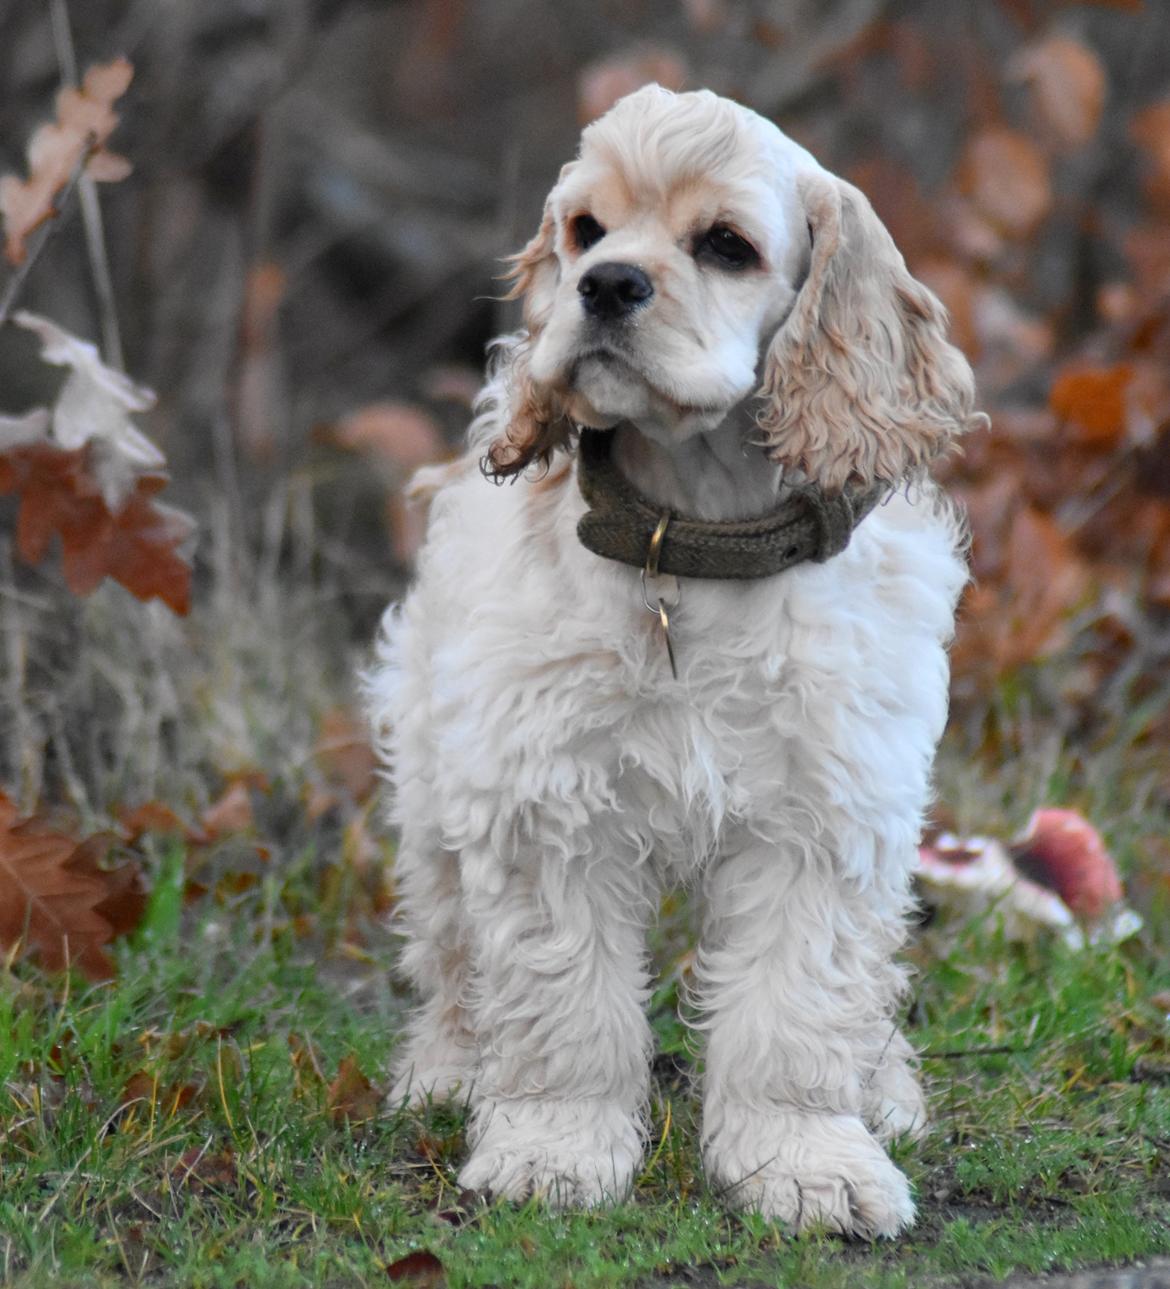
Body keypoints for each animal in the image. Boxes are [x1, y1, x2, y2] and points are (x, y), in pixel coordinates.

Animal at [365, 83, 979, 1237]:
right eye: (585, 229)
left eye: (727, 245)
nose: (606, 285)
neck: (690, 541)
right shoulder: (543, 803)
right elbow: (563, 1002)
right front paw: (553, 1151)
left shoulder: (823, 817)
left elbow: (796, 1010)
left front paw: (808, 1163)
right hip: (432, 770)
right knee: (450, 949)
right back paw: (447, 1070)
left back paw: (883, 1087)